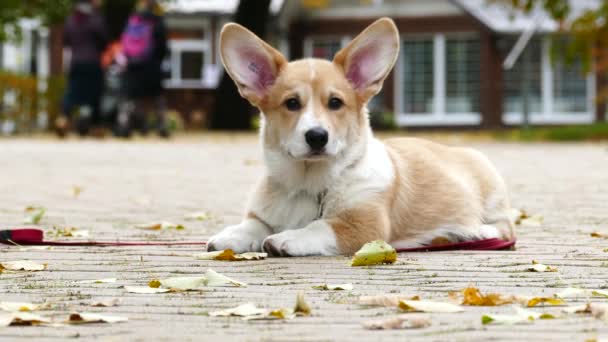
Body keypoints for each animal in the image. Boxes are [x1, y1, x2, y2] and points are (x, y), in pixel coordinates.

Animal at [207, 17, 516, 255]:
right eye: (292, 103)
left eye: (335, 103)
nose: (317, 136)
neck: (310, 183)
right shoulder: (263, 214)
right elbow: (252, 225)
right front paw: (229, 236)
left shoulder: (364, 225)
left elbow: (318, 226)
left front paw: (289, 237)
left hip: (492, 196)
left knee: (504, 227)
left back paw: (473, 232)